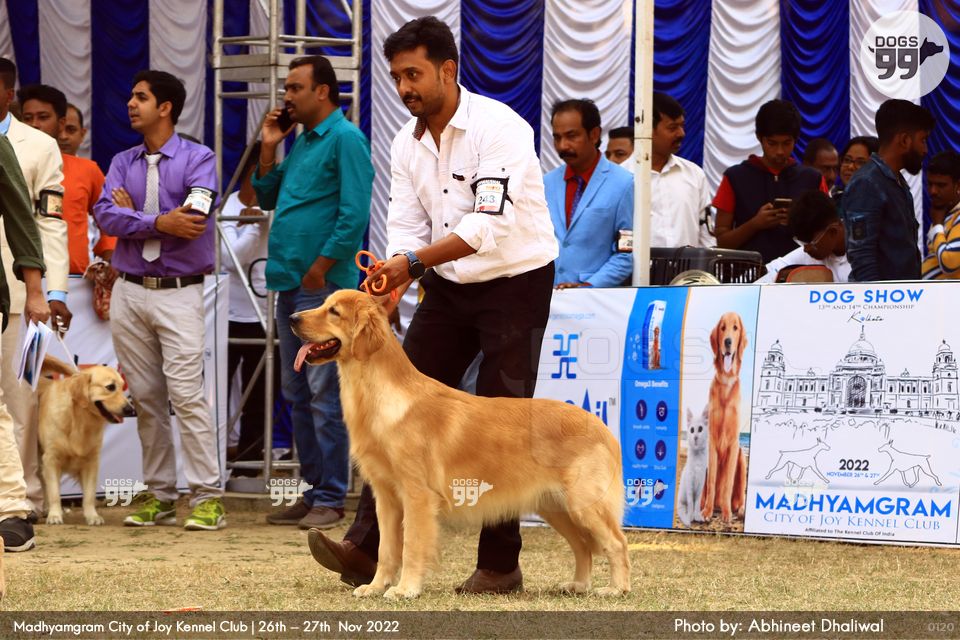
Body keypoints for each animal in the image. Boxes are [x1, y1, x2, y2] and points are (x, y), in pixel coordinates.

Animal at [37, 356, 133, 525]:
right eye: (110, 387)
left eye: (122, 387)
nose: (130, 410)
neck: (79, 420)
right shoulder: (51, 458)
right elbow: (54, 492)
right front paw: (54, 515)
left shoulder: (91, 461)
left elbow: (89, 495)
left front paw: (92, 516)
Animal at [291, 290, 630, 599]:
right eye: (324, 304)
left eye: (334, 311)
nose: (293, 318)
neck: (380, 396)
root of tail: (600, 424)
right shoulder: (385, 496)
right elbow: (386, 549)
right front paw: (375, 587)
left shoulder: (417, 495)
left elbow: (411, 546)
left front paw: (405, 589)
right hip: (555, 505)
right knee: (583, 545)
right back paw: (578, 585)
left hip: (584, 502)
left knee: (616, 542)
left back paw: (617, 588)